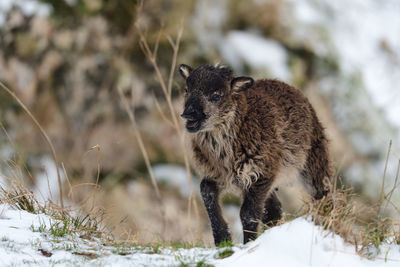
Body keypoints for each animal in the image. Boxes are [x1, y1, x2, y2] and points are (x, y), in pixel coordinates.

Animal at [180, 63, 332, 246]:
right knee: (275, 210)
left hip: (313, 162)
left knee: (323, 197)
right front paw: (223, 241)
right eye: (186, 90)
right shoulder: (218, 175)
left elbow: (248, 213)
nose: (188, 113)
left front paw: (248, 243)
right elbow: (206, 193)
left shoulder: (261, 173)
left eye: (216, 95)